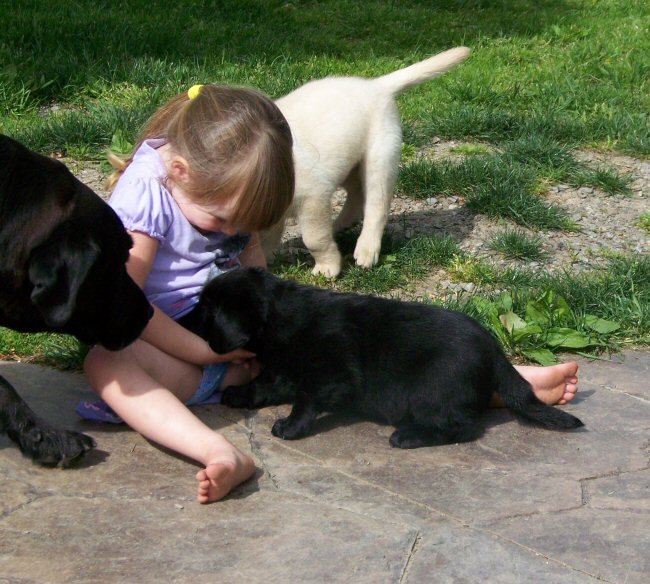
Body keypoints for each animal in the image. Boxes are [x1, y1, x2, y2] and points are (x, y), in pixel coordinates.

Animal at [191, 268, 583, 448]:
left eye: (206, 311)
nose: (184, 318)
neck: (280, 317)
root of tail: (494, 349)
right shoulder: (283, 370)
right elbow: (264, 384)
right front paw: (239, 394)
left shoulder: (330, 375)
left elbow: (306, 399)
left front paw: (291, 426)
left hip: (431, 390)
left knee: (464, 426)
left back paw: (408, 436)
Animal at [261, 46, 471, 277]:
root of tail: (376, 85)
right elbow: (266, 237)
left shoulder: (311, 197)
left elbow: (315, 238)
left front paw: (327, 267)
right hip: (349, 163)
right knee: (357, 195)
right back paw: (340, 225)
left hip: (379, 161)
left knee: (376, 207)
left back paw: (366, 249)